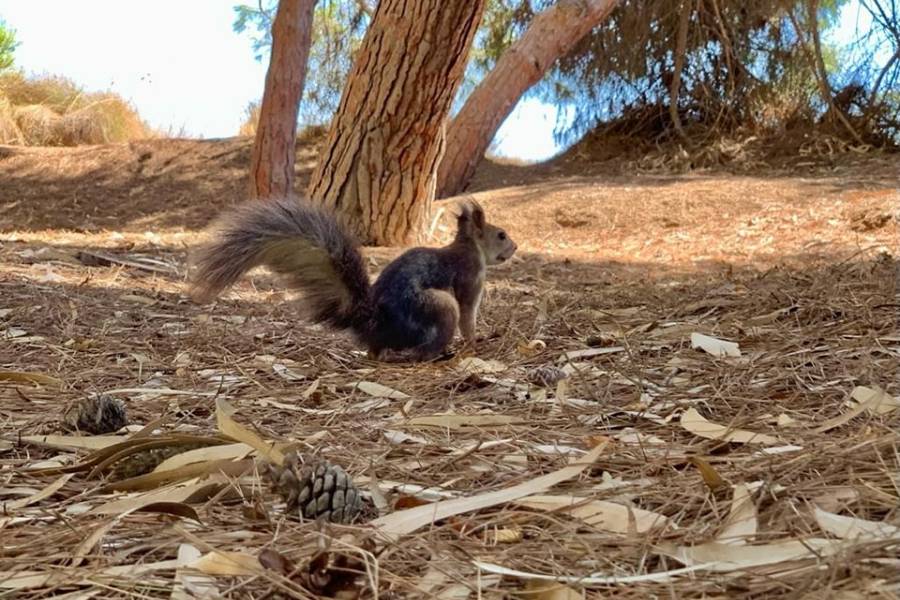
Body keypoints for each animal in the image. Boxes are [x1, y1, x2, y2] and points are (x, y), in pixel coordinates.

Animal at [186, 199, 516, 364]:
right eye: (500, 235)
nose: (514, 247)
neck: (469, 247)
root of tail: (374, 323)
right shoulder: (470, 279)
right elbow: (468, 316)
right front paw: (476, 342)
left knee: (377, 351)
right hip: (438, 305)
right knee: (423, 348)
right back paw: (438, 355)